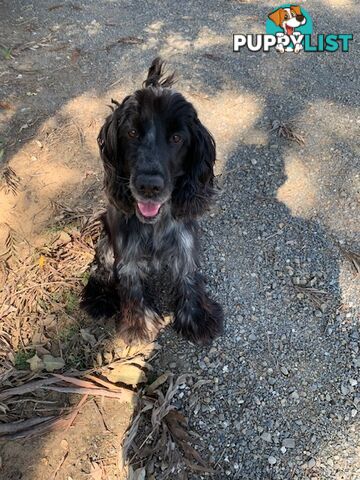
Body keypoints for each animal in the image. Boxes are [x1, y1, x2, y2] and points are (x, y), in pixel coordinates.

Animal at [80, 58, 224, 346]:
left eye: (177, 138)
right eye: (132, 132)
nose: (149, 185)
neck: (155, 225)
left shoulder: (185, 240)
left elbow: (189, 276)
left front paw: (196, 318)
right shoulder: (126, 251)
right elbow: (131, 285)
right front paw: (139, 326)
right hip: (105, 240)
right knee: (101, 268)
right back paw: (99, 297)